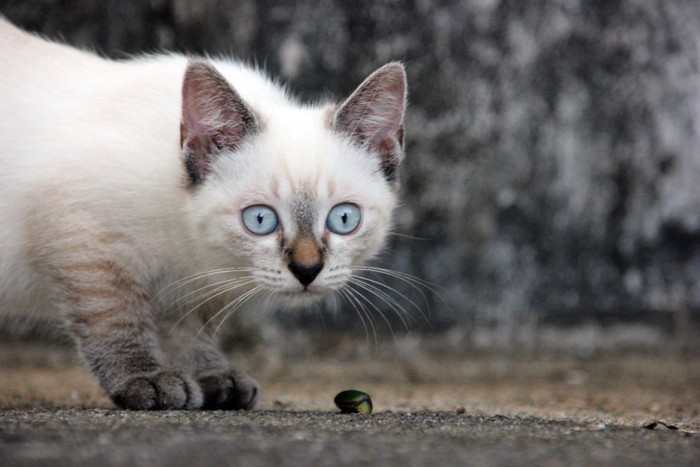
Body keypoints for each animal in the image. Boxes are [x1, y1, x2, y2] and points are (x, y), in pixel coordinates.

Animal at [0, 19, 408, 410]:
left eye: (343, 220)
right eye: (260, 220)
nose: (307, 271)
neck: (191, 243)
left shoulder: (187, 284)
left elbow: (187, 329)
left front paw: (212, 378)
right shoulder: (82, 236)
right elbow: (115, 319)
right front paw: (145, 378)